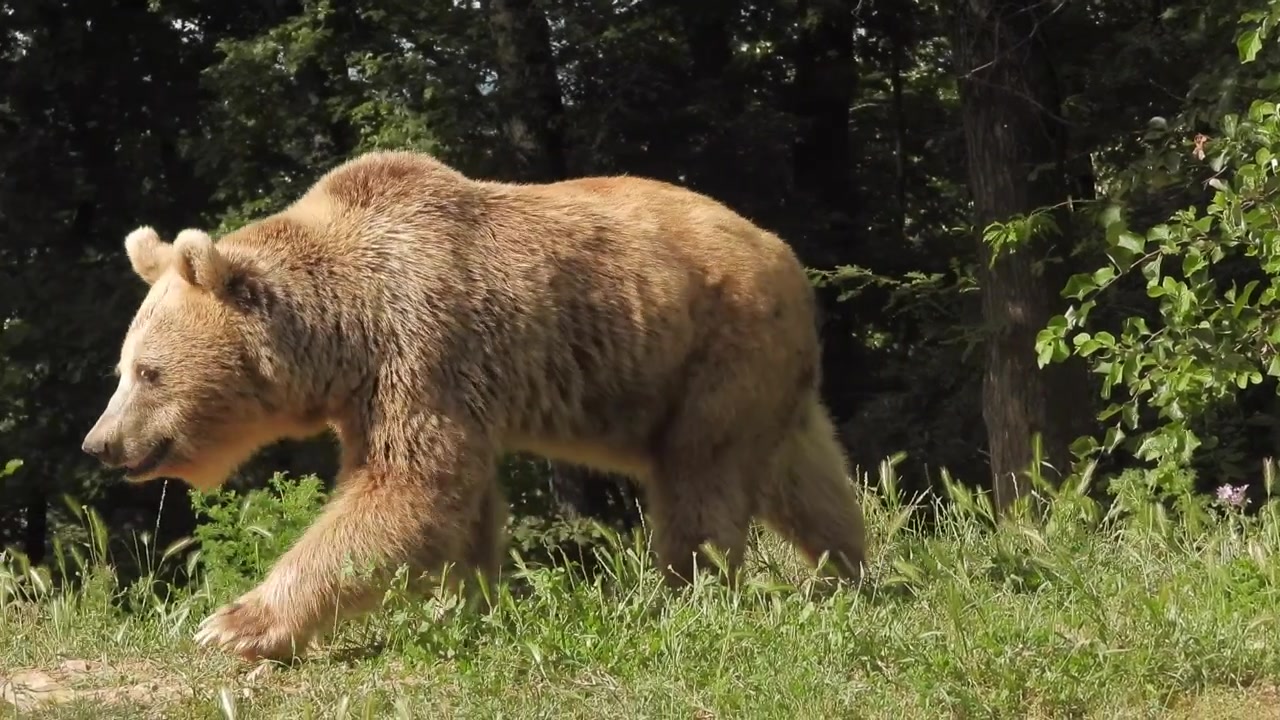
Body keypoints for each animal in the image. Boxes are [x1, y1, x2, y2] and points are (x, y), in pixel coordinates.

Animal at [80, 150, 869, 662]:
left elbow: (409, 485)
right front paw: (465, 601)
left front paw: (235, 623)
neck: (344, 330)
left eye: (148, 372)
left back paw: (679, 592)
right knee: (803, 476)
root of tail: (783, 253)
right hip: (758, 375)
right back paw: (848, 572)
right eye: (120, 369)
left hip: (711, 349)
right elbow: (455, 504)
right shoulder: (391, 386)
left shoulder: (422, 341)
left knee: (701, 480)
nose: (101, 443)